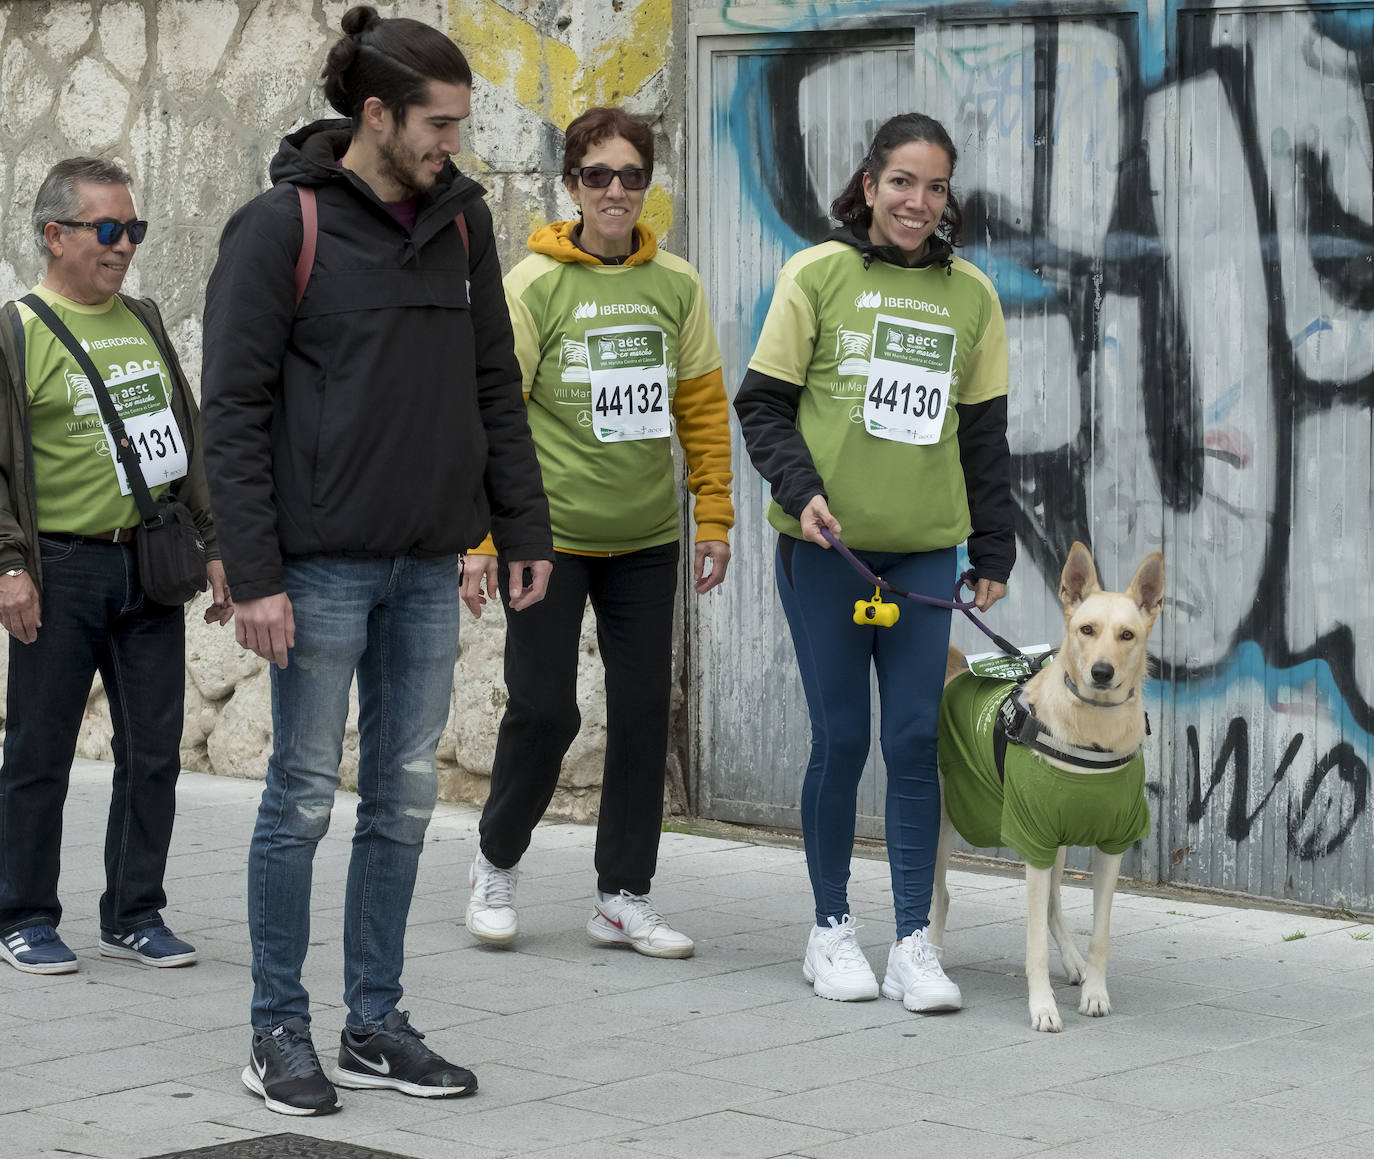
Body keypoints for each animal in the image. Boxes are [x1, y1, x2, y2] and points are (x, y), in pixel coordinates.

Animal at [928, 543, 1165, 1032]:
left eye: (1127, 634)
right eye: (1086, 629)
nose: (1101, 672)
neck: (1094, 731)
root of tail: (958, 673)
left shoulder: (1109, 843)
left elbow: (1099, 932)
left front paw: (1095, 991)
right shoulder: (1032, 836)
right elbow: (1033, 941)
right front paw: (1042, 1007)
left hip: (1056, 841)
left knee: (1055, 905)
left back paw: (1074, 964)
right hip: (946, 816)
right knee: (941, 893)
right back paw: (933, 957)